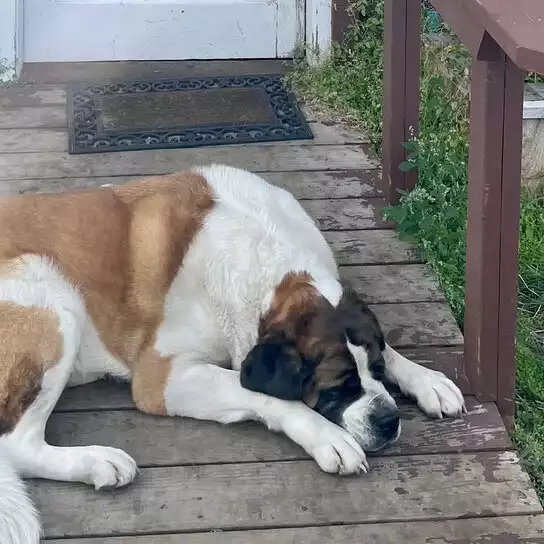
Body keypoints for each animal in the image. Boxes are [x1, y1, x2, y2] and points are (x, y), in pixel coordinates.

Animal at [0, 164, 465, 542]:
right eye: (337, 388)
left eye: (377, 368)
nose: (388, 421)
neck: (267, 257)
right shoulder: (162, 376)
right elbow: (259, 392)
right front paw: (326, 436)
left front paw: (426, 379)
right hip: (51, 298)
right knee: (18, 445)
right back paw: (98, 462)